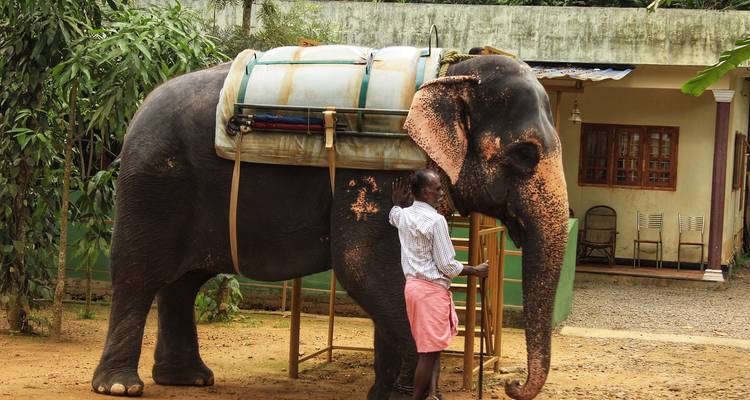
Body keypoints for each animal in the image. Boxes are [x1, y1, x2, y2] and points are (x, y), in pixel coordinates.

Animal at [91, 53, 568, 400]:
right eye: (525, 154)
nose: (511, 385)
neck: (446, 75)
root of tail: (136, 111)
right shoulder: (374, 176)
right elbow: (364, 268)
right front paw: (410, 395)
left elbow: (381, 277)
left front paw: (384, 394)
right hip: (151, 184)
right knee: (137, 275)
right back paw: (120, 386)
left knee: (184, 283)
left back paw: (190, 379)